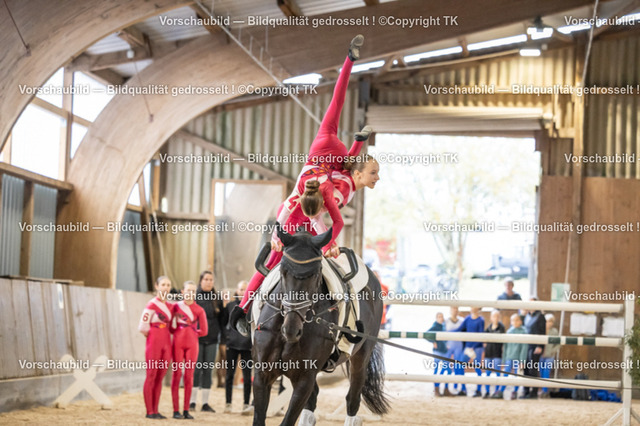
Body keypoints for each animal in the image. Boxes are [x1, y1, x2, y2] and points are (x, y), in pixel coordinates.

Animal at [250, 224, 389, 426]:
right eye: (283, 271)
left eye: (316, 274)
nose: (291, 330)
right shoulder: (262, 375)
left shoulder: (304, 379)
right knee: (314, 400)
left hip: (361, 357)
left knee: (352, 399)